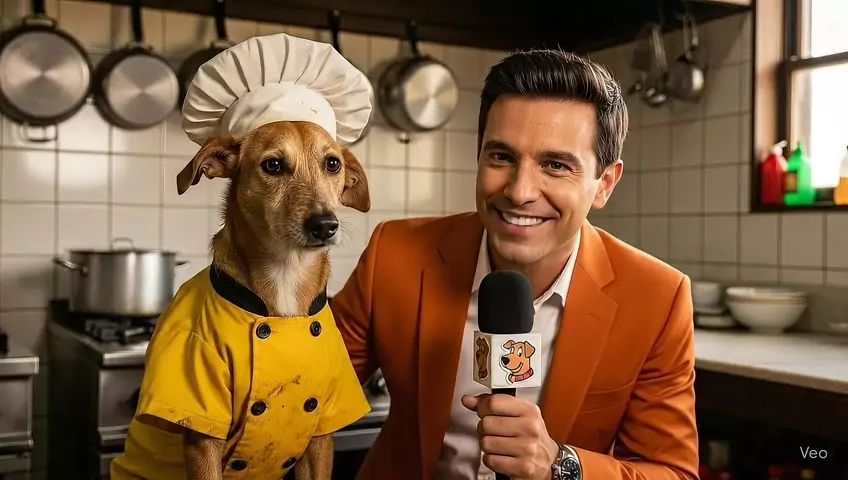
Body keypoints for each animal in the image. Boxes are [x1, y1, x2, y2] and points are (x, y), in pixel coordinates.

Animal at [173, 120, 370, 480]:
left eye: (332, 164)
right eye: (273, 165)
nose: (325, 225)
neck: (285, 274)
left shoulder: (320, 438)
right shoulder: (202, 441)